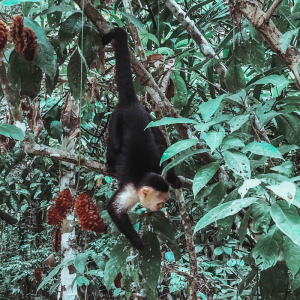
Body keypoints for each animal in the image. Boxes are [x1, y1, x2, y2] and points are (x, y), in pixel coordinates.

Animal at [101, 27, 180, 248]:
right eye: (160, 202)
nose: (160, 208)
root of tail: (130, 103)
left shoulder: (160, 169)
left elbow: (163, 152)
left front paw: (174, 179)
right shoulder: (130, 191)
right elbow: (113, 209)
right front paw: (139, 244)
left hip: (146, 115)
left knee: (158, 138)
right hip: (116, 118)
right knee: (115, 144)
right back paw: (110, 162)